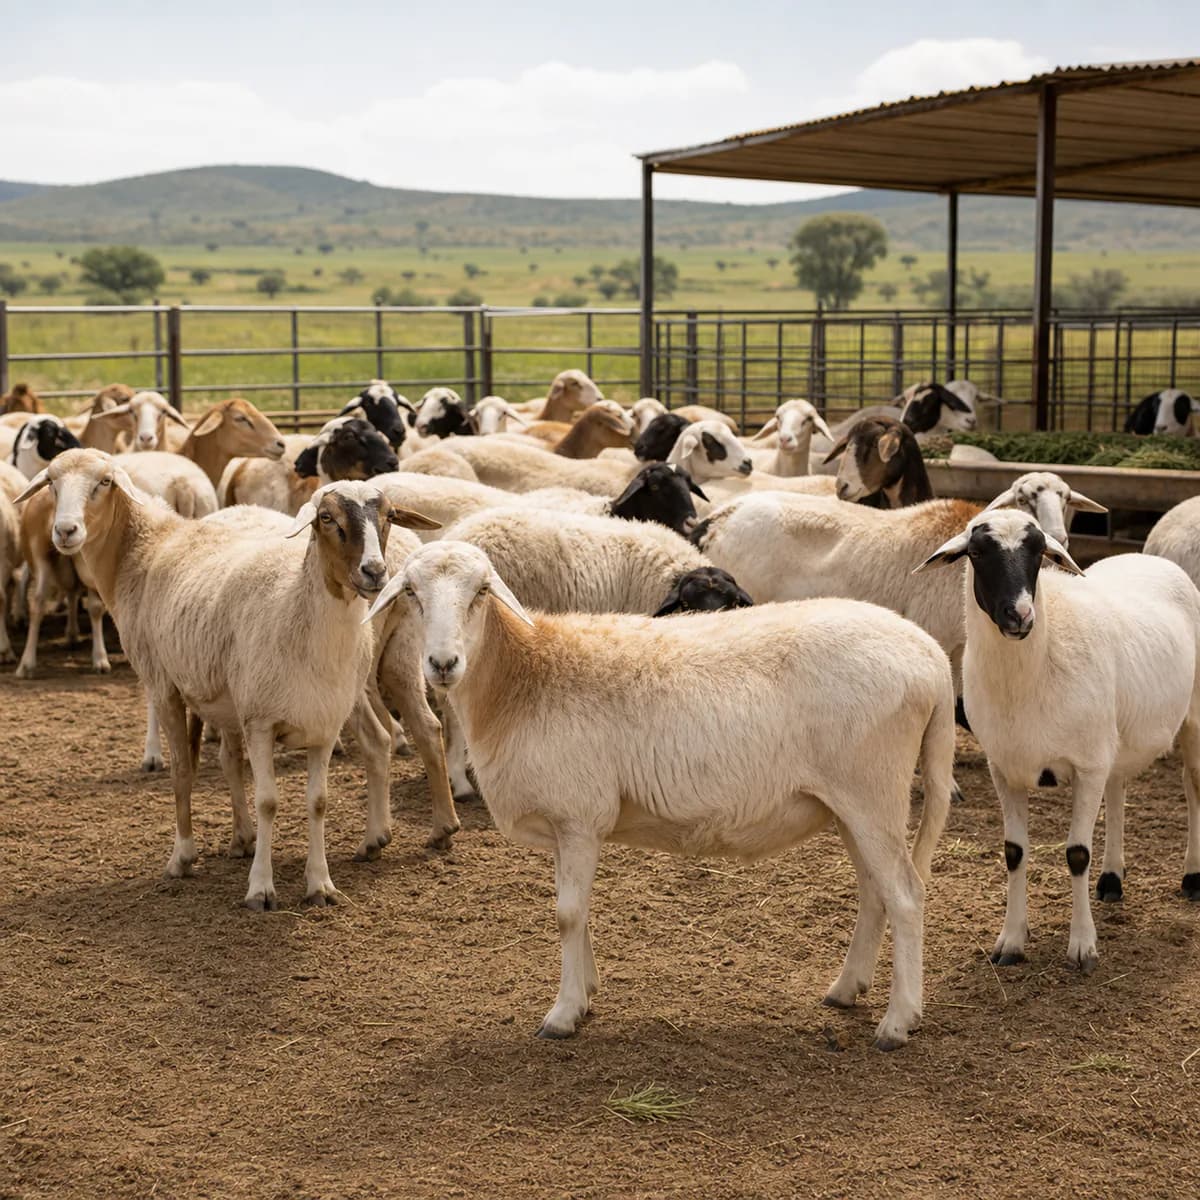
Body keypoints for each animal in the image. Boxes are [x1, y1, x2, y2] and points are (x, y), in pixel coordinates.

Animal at [18, 452, 444, 906]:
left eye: (104, 482)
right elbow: (229, 773)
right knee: (392, 734)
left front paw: (305, 881)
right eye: (51, 484)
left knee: (382, 737)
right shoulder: (220, 698)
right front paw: (240, 856)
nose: (65, 531)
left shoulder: (179, 686)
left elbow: (291, 795)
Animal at [365, 540, 954, 1048]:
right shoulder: (568, 824)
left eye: (482, 591)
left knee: (906, 895)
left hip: (871, 790)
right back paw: (846, 989)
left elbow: (567, 914)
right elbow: (577, 911)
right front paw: (587, 992)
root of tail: (931, 656)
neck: (522, 675)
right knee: (875, 892)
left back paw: (898, 1021)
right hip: (851, 804)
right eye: (411, 592)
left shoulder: (579, 816)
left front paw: (563, 1013)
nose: (442, 664)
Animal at [915, 509, 1200, 975]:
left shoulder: (1085, 766)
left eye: (1038, 553)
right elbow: (1014, 852)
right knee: (1118, 790)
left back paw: (1192, 877)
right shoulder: (1005, 768)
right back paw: (1112, 879)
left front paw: (1082, 947)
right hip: (1111, 738)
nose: (1020, 616)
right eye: (977, 552)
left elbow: (1077, 853)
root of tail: (1149, 558)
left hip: (1191, 715)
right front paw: (1011, 941)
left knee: (1192, 787)